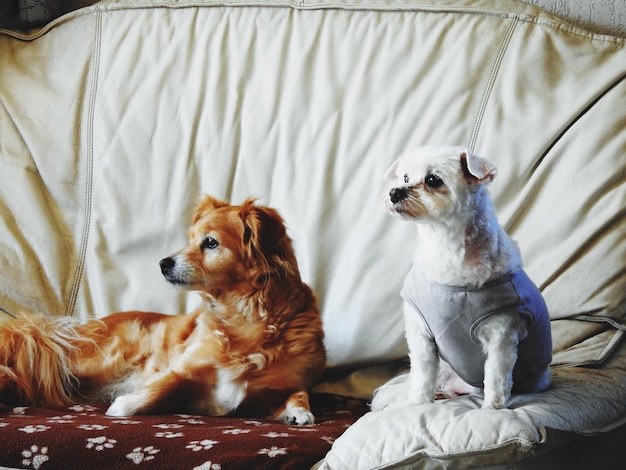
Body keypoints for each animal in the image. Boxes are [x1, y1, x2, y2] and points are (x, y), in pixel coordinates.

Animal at [0, 196, 322, 424]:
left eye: (210, 242)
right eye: (190, 239)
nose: (162, 263)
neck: (247, 319)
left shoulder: (280, 385)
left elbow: (299, 392)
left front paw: (299, 411)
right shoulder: (184, 367)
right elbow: (166, 384)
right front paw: (126, 404)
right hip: (91, 360)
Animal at [370, 145, 552, 410]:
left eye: (432, 179)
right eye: (405, 177)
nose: (394, 192)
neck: (445, 247)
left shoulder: (503, 333)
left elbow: (496, 376)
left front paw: (492, 409)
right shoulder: (420, 331)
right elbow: (422, 373)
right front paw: (417, 404)